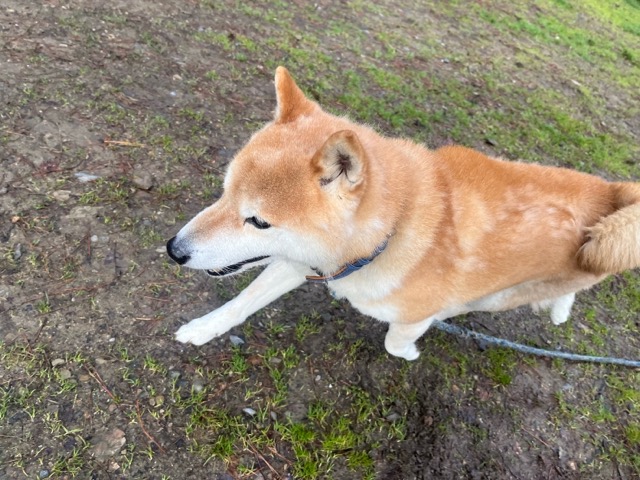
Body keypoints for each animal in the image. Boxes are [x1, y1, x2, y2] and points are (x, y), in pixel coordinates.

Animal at [167, 67, 640, 360]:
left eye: (259, 221)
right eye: (224, 192)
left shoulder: (402, 309)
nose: (173, 250)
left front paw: (411, 348)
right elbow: (241, 302)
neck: (388, 235)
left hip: (506, 291)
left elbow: (397, 341)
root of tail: (612, 192)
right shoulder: (302, 262)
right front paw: (202, 328)